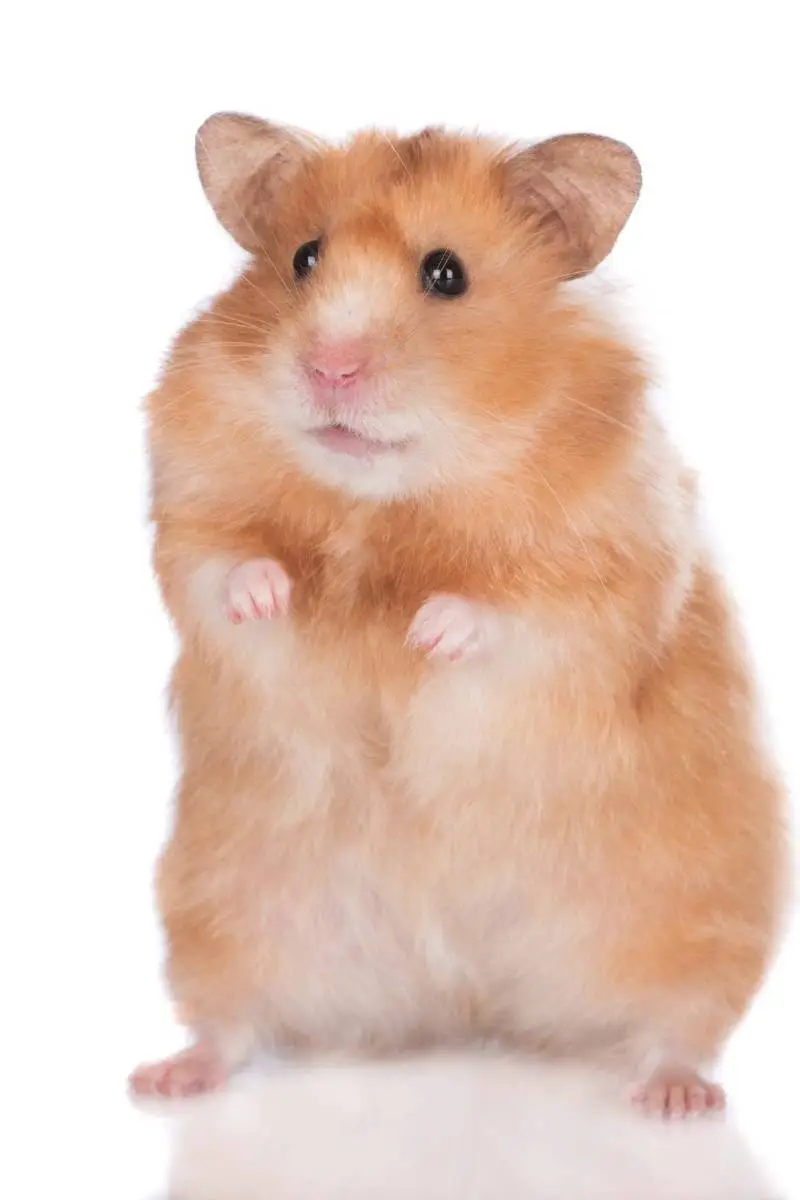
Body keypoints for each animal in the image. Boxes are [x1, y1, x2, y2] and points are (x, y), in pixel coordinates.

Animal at [129, 113, 787, 1118]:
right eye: (303, 259)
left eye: (446, 274)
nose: (327, 369)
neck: (394, 499)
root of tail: (471, 1000)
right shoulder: (190, 507)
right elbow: (223, 566)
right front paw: (278, 593)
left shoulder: (605, 571)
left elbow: (516, 612)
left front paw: (425, 632)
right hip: (224, 907)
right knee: (229, 1023)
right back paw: (166, 1079)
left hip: (696, 913)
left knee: (679, 1024)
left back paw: (673, 1099)